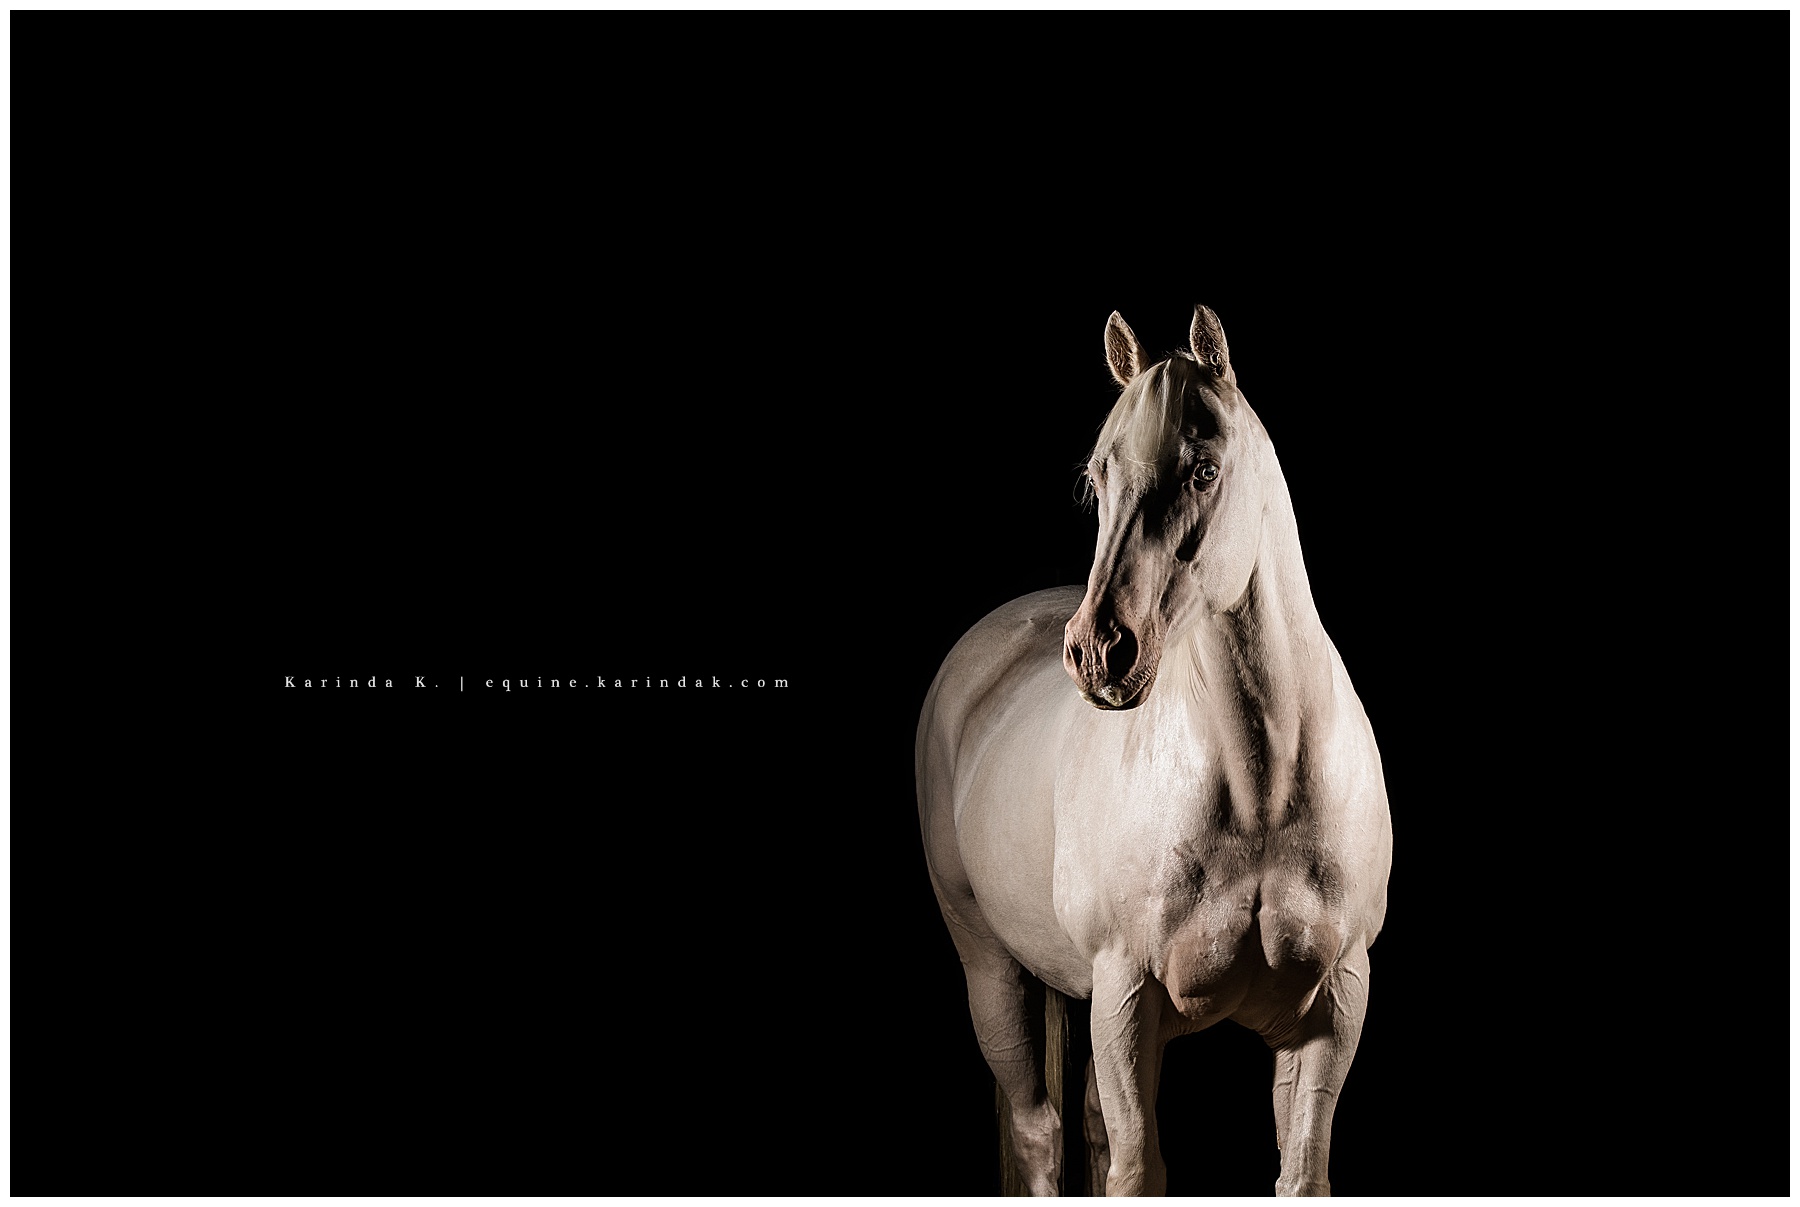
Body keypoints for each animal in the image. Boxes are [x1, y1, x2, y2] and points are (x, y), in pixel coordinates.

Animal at [915, 305, 1392, 1196]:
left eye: (1204, 469)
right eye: (1095, 478)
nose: (1101, 650)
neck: (1262, 789)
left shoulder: (1333, 1006)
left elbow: (1299, 1173)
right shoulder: (1126, 996)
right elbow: (1139, 1171)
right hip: (991, 968)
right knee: (1038, 1128)